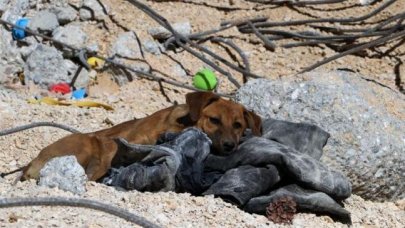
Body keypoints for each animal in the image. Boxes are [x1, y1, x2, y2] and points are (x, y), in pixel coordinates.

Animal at [20, 91, 260, 181]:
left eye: (238, 125)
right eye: (214, 120)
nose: (229, 145)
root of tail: (32, 163)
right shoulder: (115, 142)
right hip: (84, 143)